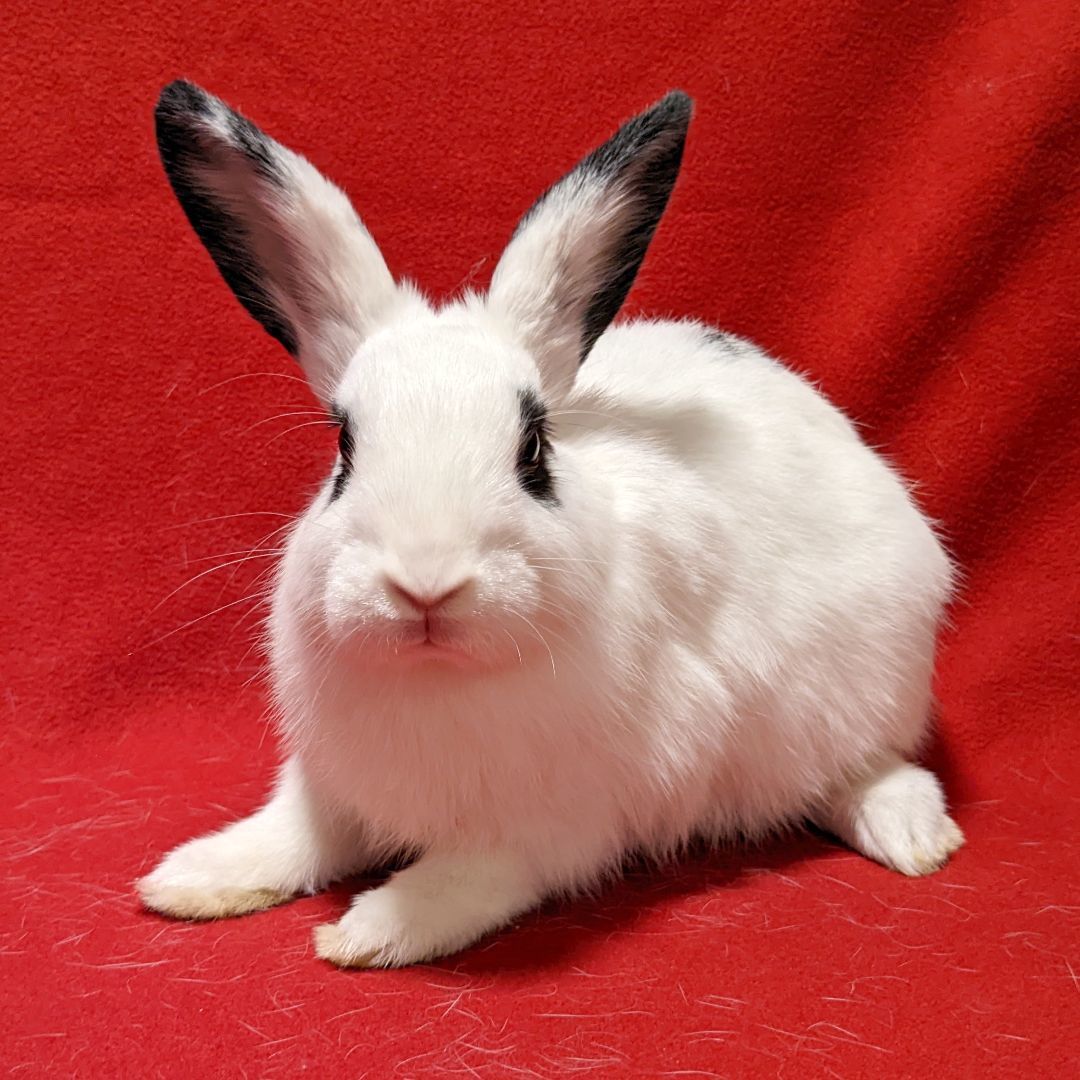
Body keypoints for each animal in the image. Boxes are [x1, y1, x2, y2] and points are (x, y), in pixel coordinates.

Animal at [139, 79, 967, 967]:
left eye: (533, 451)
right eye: (344, 450)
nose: (424, 584)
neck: (440, 679)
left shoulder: (554, 827)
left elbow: (467, 883)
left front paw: (367, 931)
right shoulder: (330, 786)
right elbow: (293, 834)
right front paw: (190, 880)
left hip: (856, 689)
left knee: (872, 767)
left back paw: (913, 835)